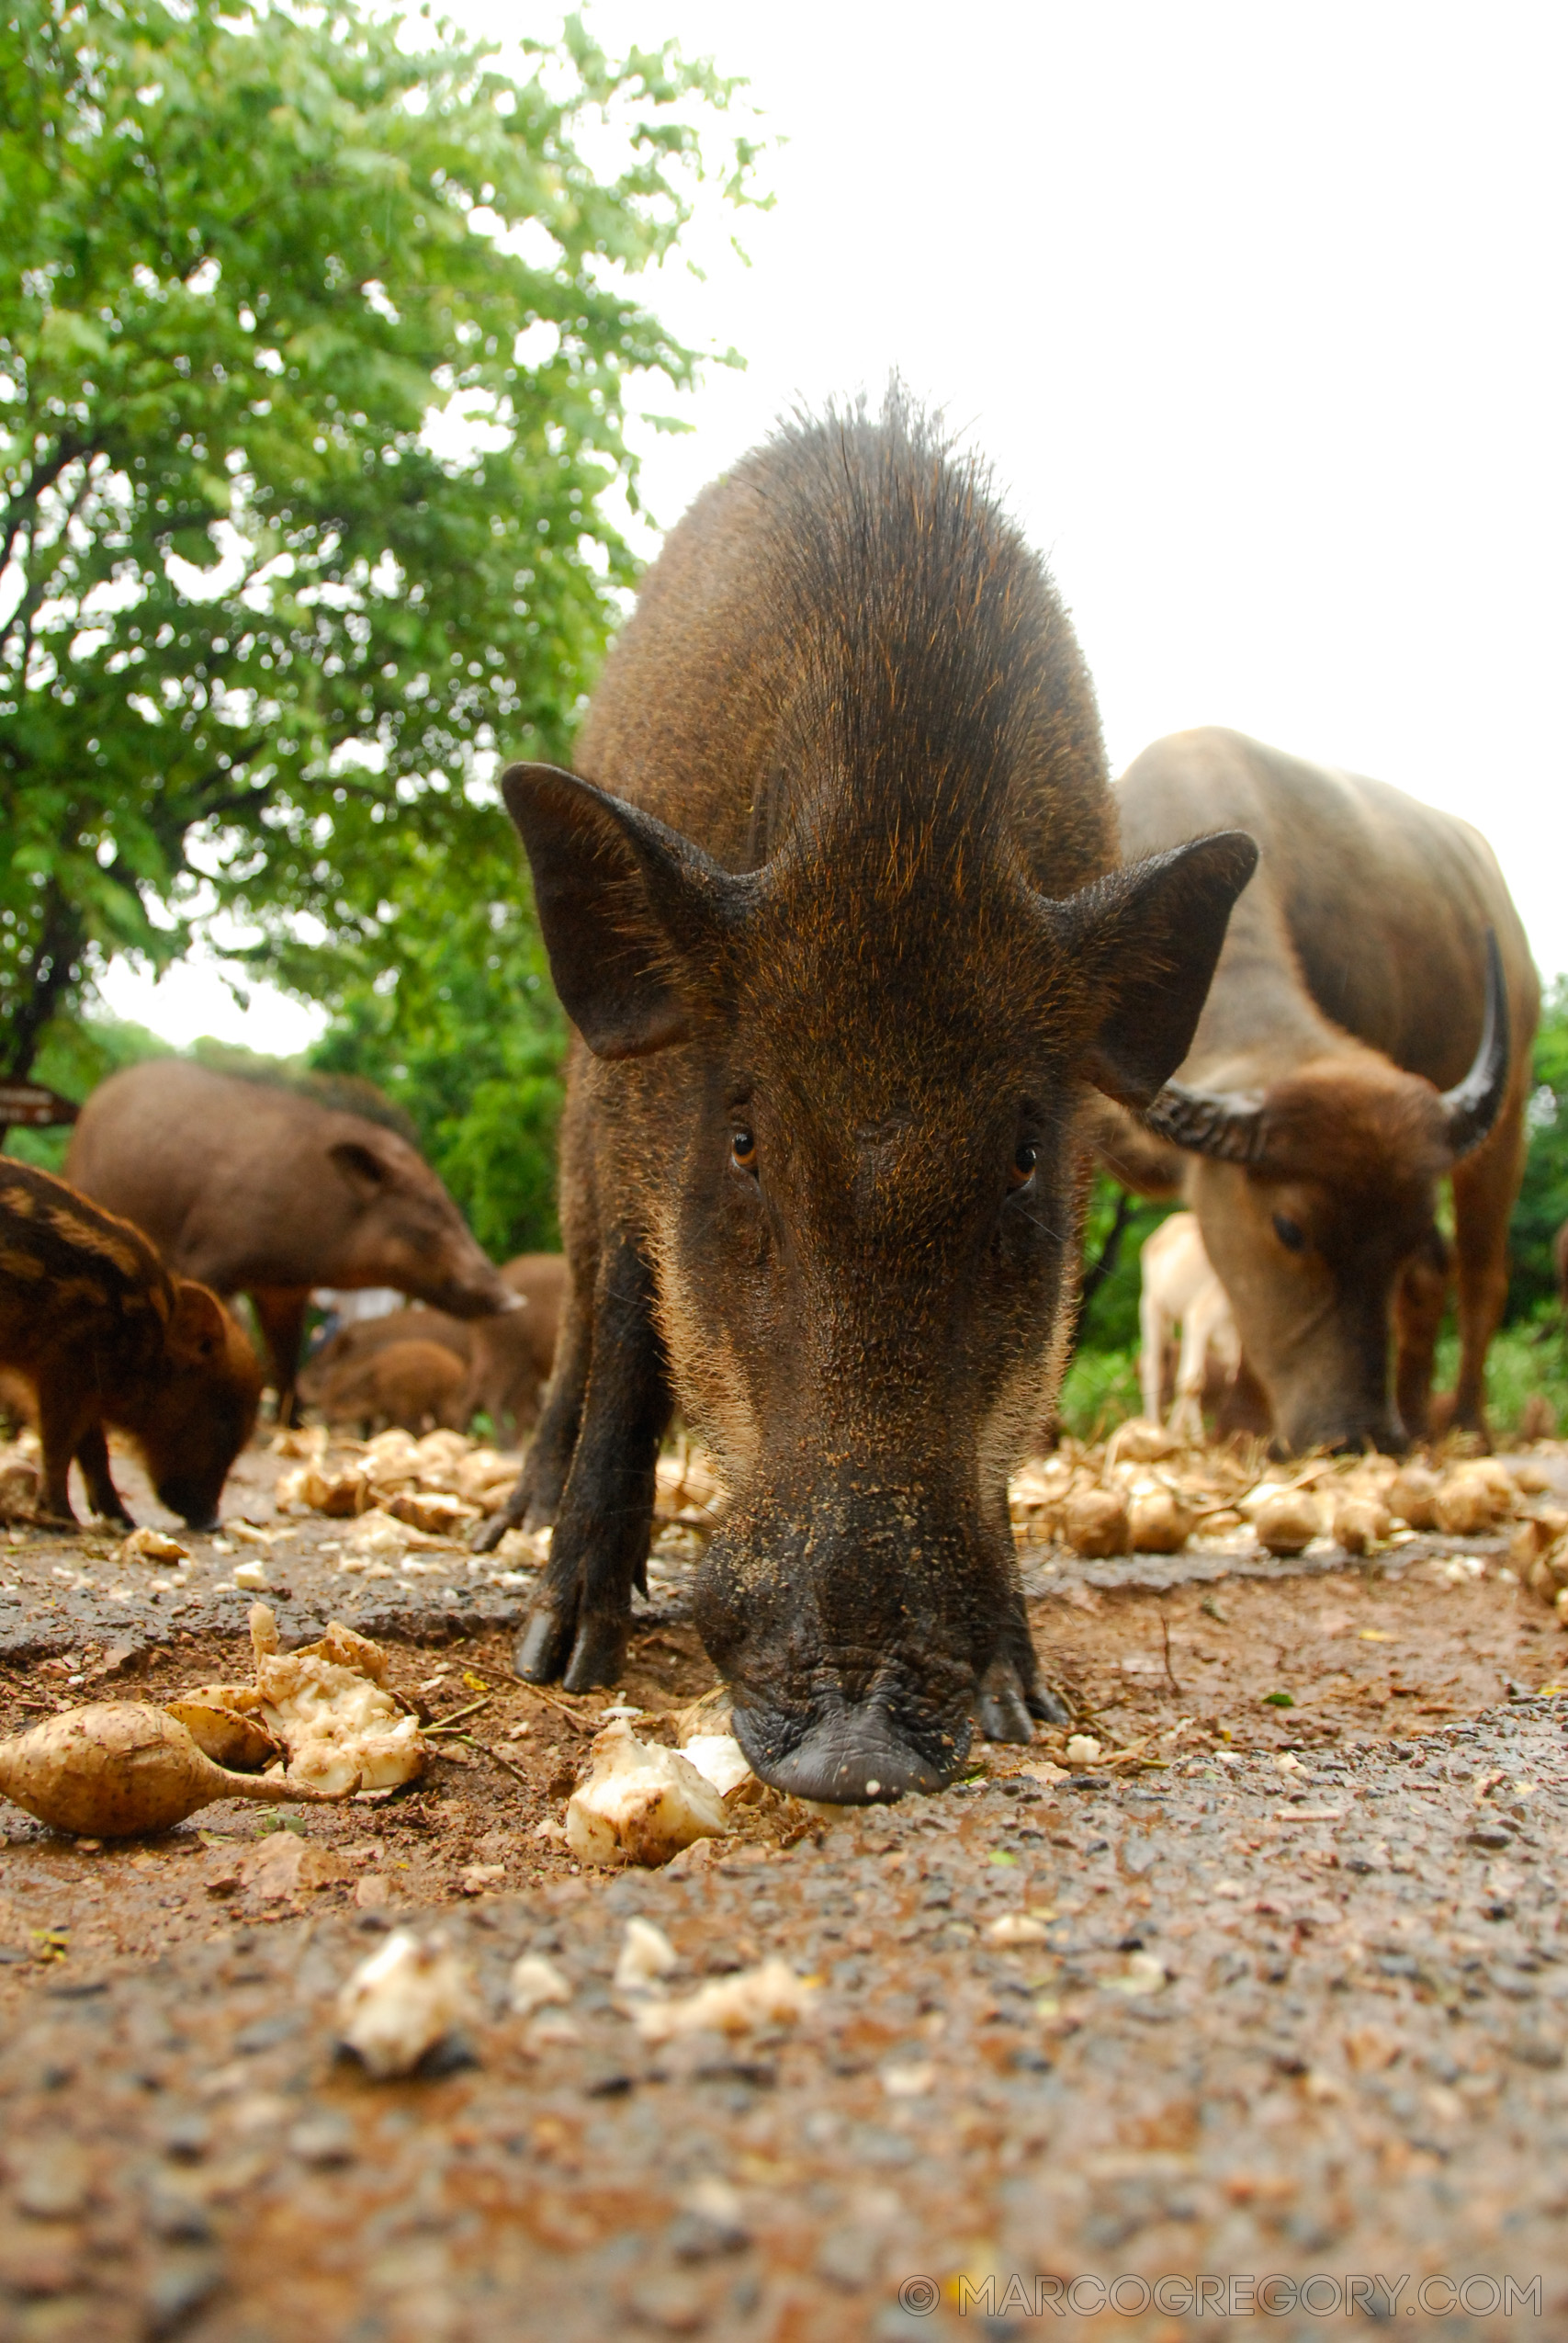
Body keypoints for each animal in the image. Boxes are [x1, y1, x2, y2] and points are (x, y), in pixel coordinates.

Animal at [0, 1161, 260, 1527]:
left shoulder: (82, 1385)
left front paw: (122, 1520)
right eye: (224, 1424)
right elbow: (59, 1445)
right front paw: (63, 1518)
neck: (142, 1333)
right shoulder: (64, 1368)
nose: (211, 1520)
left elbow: (94, 1450)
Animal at [65, 1068, 513, 1424]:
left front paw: (292, 1424)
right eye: (432, 1207)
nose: (512, 1299)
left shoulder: (285, 1292)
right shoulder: (207, 1258)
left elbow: (285, 1356)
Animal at [1097, 726, 1537, 1443]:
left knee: (1475, 1276)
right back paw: (1416, 1413)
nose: (1357, 1434)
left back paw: (1461, 1420)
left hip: (1510, 1117)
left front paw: (1245, 1423)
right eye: (1289, 1230)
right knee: (1436, 1277)